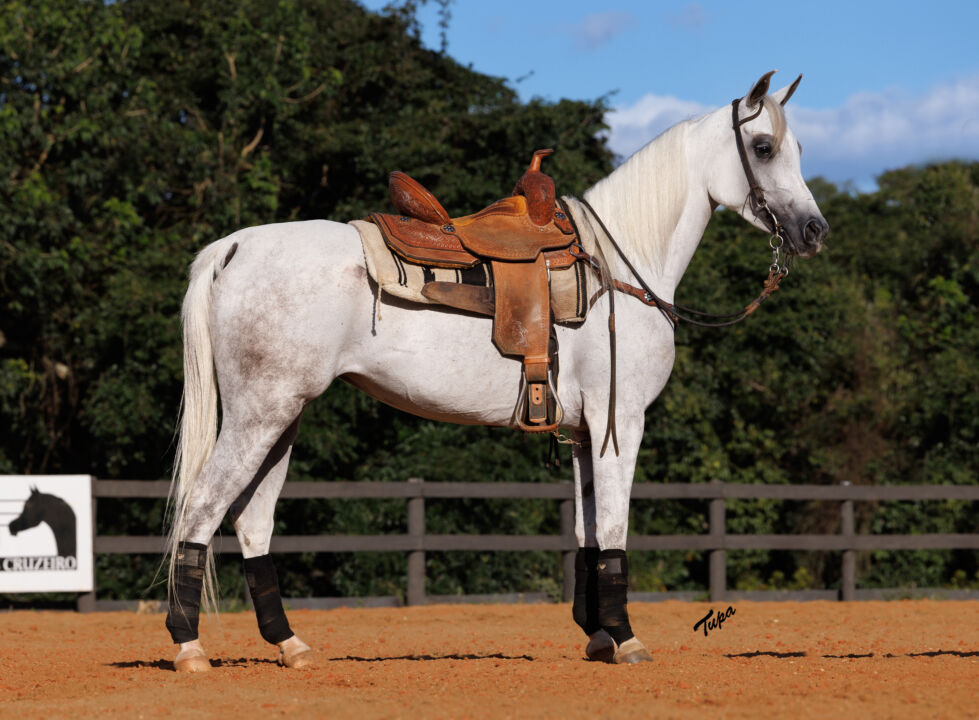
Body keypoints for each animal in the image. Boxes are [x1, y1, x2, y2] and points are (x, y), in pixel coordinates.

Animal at [164, 71, 829, 672]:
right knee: (200, 508)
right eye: (763, 147)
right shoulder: (619, 423)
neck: (618, 266)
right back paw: (189, 647)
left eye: (798, 148)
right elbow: (614, 530)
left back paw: (290, 645)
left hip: (284, 421)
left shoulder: (583, 433)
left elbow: (588, 533)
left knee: (252, 524)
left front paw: (597, 635)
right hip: (260, 416)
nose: (814, 230)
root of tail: (234, 247)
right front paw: (625, 637)